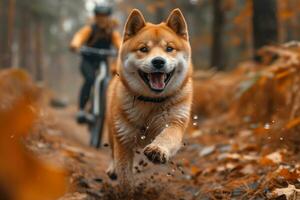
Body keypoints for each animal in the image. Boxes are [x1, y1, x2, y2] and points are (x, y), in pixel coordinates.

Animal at [106, 8, 193, 188]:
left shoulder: (175, 122)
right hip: (112, 127)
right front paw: (126, 190)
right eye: (144, 49)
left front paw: (157, 150)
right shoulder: (123, 137)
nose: (158, 61)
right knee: (111, 150)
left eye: (169, 48)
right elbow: (124, 174)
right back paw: (112, 168)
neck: (150, 102)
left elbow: (167, 137)